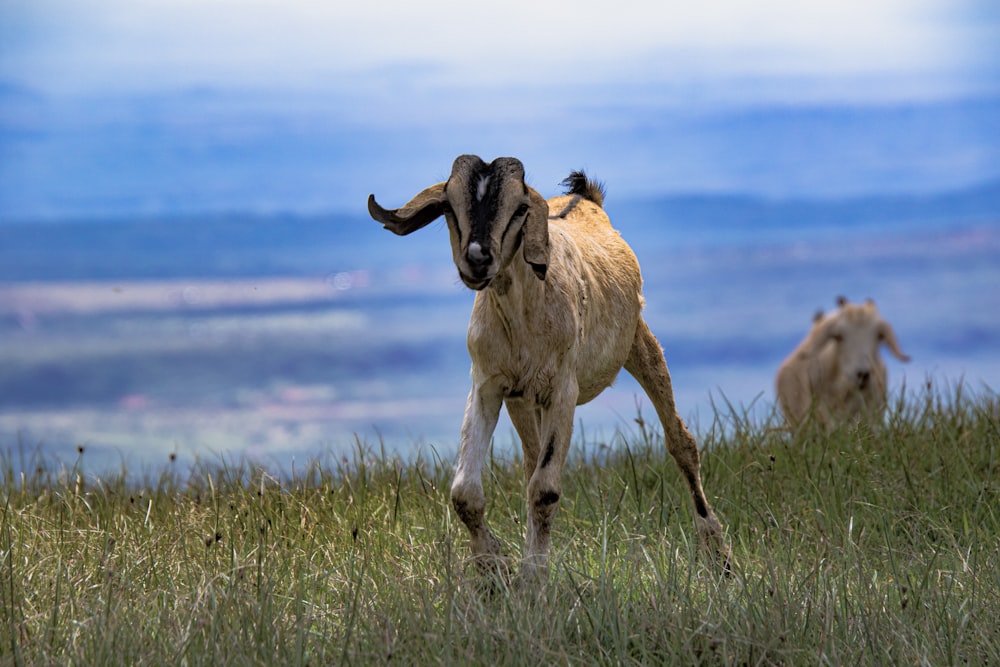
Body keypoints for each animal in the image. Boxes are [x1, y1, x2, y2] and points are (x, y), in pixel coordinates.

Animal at [372, 155, 732, 580]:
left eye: (520, 209)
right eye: (449, 205)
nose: (478, 258)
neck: (522, 319)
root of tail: (588, 199)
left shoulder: (563, 389)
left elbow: (544, 490)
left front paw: (533, 578)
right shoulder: (489, 384)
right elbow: (465, 492)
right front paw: (494, 568)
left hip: (637, 343)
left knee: (681, 441)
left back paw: (720, 556)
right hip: (526, 400)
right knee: (530, 460)